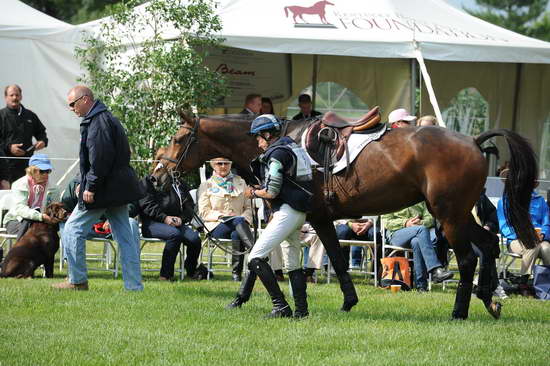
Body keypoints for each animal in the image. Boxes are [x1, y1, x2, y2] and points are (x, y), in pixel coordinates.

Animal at [155, 113, 540, 320]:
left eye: (177, 138)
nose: (158, 174)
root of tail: (473, 141)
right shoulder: (318, 220)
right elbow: (332, 261)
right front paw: (347, 302)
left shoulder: (303, 215)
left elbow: (260, 260)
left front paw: (241, 298)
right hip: (457, 214)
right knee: (488, 244)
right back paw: (489, 298)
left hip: (449, 216)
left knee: (468, 259)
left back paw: (460, 311)